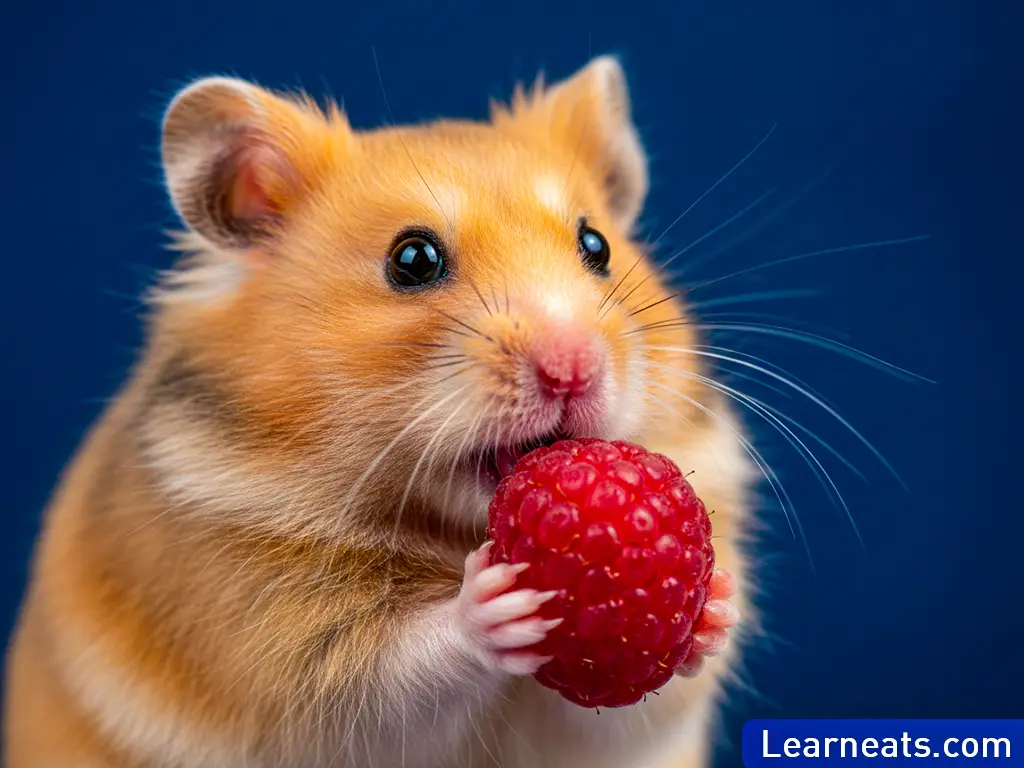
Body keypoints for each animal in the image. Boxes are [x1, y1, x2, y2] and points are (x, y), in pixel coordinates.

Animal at [4, 56, 756, 768]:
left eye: (596, 246)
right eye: (412, 259)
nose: (572, 367)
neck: (450, 532)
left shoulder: (605, 724)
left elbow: (613, 705)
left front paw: (716, 607)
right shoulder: (271, 648)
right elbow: (386, 678)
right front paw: (495, 603)